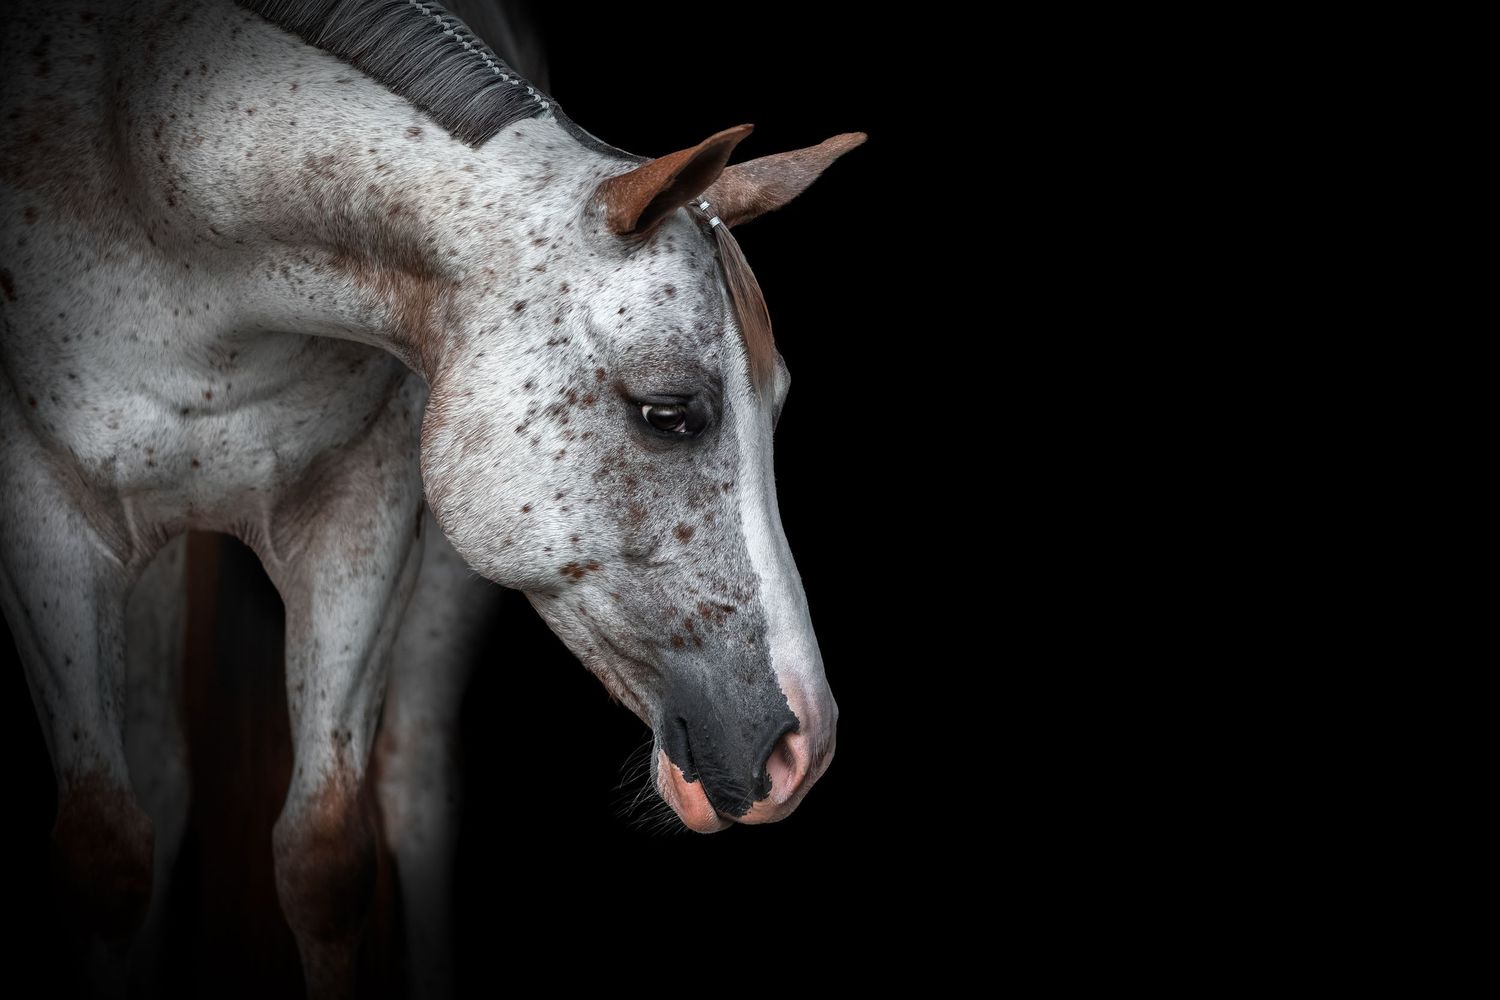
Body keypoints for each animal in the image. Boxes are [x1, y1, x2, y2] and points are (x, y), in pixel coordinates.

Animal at [0, 0, 863, 993]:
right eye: (668, 412)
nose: (802, 747)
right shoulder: (46, 525)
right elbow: (106, 859)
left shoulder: (359, 521)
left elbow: (325, 863)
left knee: (414, 787)